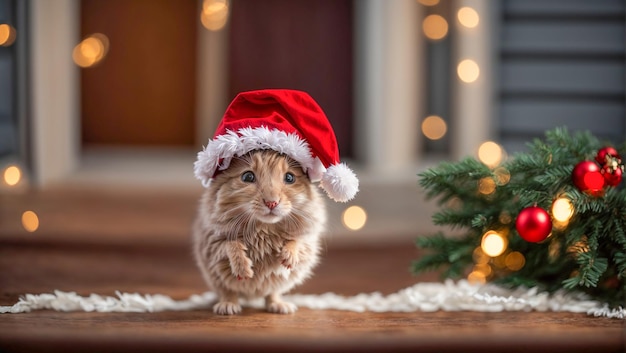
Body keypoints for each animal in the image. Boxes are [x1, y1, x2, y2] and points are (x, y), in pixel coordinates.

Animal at [191, 148, 326, 314]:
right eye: (248, 176)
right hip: (217, 277)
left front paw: (287, 260)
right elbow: (231, 245)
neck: (265, 227)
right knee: (228, 292)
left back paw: (281, 307)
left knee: (272, 294)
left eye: (290, 177)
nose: (271, 203)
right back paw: (227, 307)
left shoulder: (307, 237)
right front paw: (245, 271)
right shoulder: (213, 241)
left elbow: (296, 240)